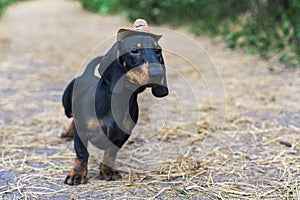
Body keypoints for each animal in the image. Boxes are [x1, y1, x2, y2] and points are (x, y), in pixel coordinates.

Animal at [61, 19, 169, 184]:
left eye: (158, 51)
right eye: (134, 50)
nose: (158, 73)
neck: (118, 100)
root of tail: (87, 74)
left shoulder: (122, 135)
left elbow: (111, 153)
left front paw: (108, 170)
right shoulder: (82, 134)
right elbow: (82, 154)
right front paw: (77, 174)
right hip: (67, 106)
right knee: (72, 117)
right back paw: (68, 132)